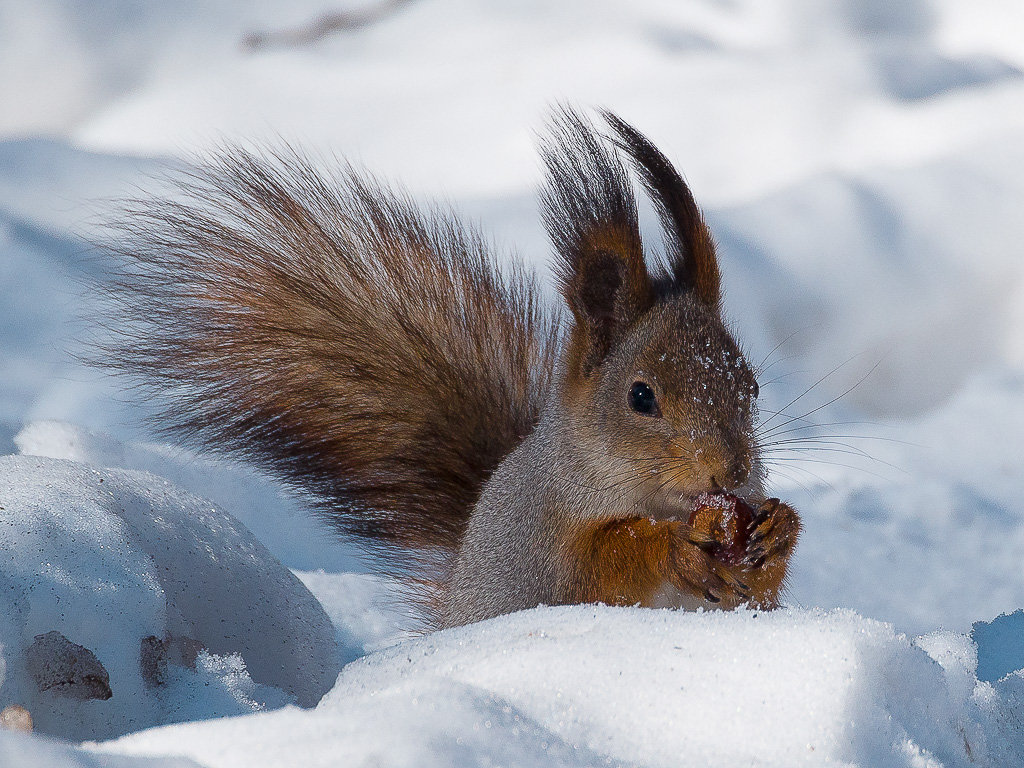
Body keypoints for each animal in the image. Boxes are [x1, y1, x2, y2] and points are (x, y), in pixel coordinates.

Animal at [105, 108, 806, 630]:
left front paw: (778, 529)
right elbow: (602, 568)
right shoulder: (541, 545)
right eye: (641, 397)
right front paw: (672, 547)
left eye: (751, 386)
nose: (732, 472)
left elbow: (764, 590)